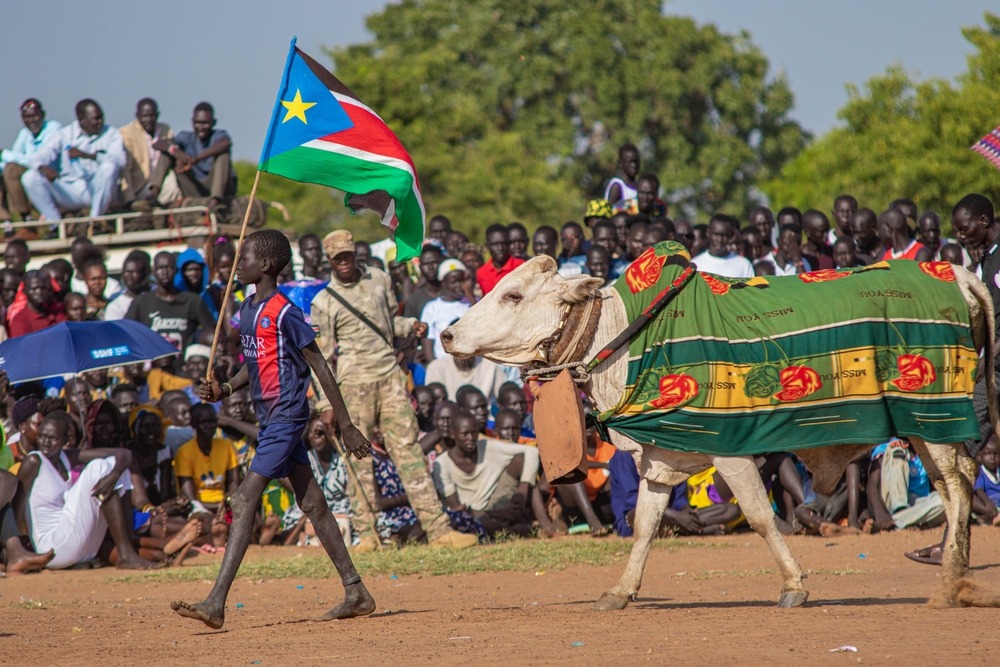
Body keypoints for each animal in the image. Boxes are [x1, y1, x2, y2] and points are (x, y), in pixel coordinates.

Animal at [442, 254, 1000, 612]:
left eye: (513, 295)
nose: (447, 334)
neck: (629, 340)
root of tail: (958, 273)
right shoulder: (659, 457)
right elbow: (644, 527)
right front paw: (620, 592)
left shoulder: (730, 449)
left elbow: (760, 515)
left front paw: (794, 585)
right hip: (925, 426)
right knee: (958, 480)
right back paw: (955, 572)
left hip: (932, 416)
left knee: (957, 485)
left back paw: (952, 581)